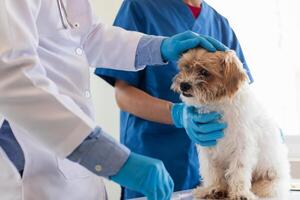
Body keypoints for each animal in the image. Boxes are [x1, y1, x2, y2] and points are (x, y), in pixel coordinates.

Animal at [172, 48, 290, 200]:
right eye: (186, 67)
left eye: (204, 72)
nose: (183, 85)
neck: (218, 105)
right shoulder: (207, 146)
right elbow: (211, 170)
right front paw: (214, 188)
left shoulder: (243, 147)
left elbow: (238, 170)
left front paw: (240, 193)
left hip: (271, 182)